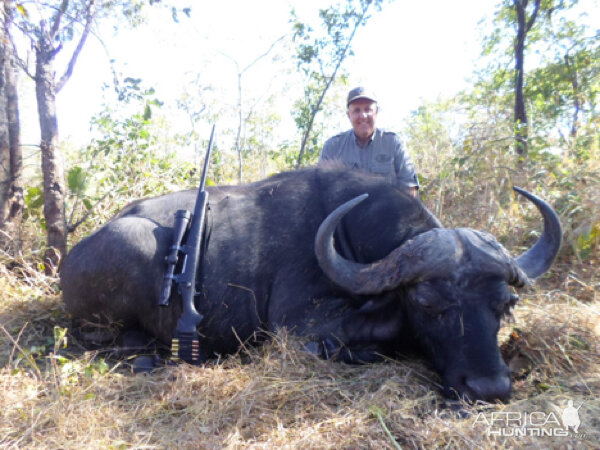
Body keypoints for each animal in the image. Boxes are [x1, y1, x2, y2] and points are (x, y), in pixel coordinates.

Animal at [62, 165, 564, 400]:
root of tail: (70, 259)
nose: (489, 388)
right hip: (133, 252)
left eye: (505, 303)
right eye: (427, 303)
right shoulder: (300, 326)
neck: (350, 239)